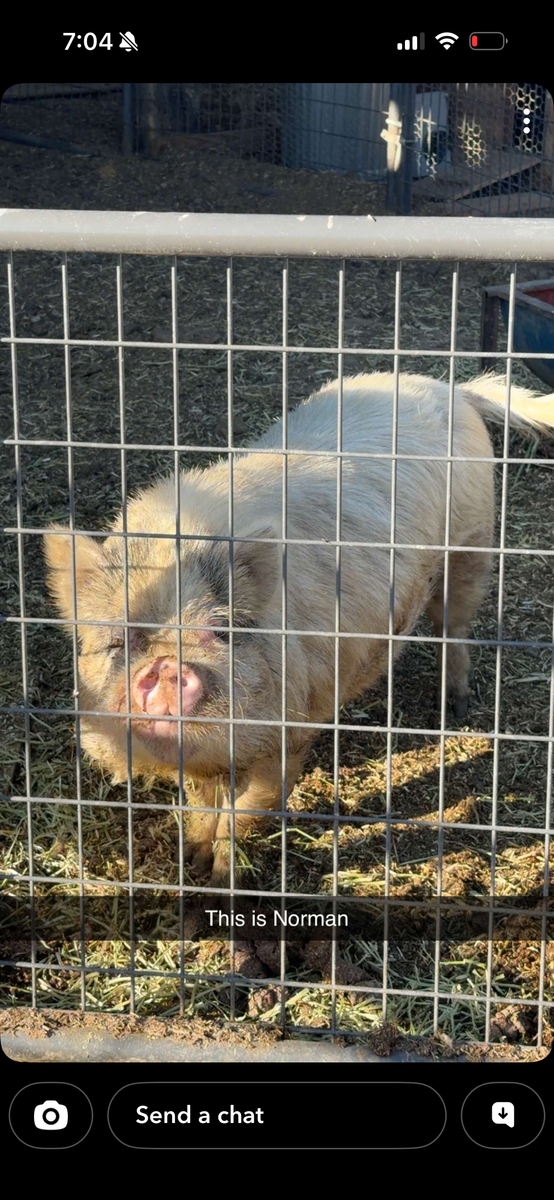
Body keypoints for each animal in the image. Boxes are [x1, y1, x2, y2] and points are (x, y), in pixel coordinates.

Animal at [44, 372, 554, 883]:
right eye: (119, 640)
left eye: (220, 629)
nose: (169, 666)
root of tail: (451, 387)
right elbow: (203, 802)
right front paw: (191, 861)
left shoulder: (294, 725)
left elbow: (250, 807)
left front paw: (222, 879)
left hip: (472, 544)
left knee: (456, 625)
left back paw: (455, 708)